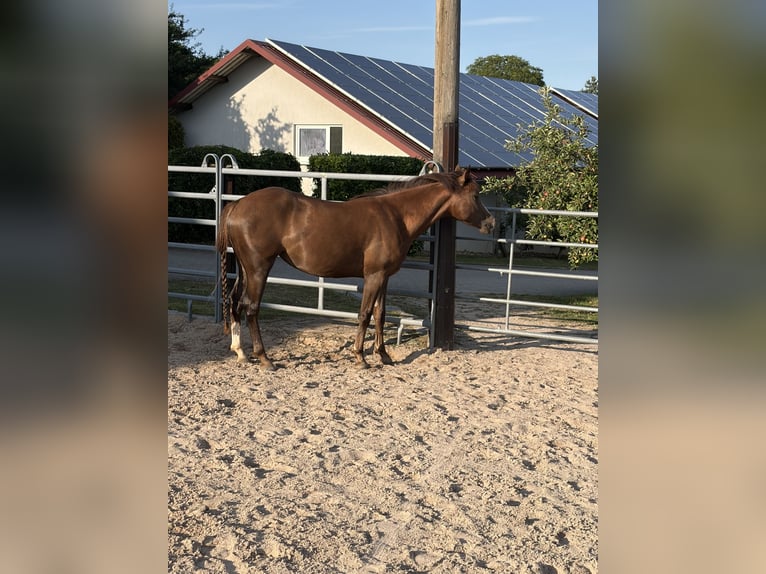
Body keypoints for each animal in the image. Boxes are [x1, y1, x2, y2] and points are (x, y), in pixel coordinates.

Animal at [216, 166, 495, 370]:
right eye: (475, 196)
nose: (491, 223)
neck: (396, 216)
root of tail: (238, 205)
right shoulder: (373, 276)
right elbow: (365, 314)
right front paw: (360, 357)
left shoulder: (384, 277)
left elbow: (380, 314)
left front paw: (383, 355)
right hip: (259, 268)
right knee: (251, 307)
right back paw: (264, 358)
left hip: (245, 269)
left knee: (235, 302)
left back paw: (241, 352)